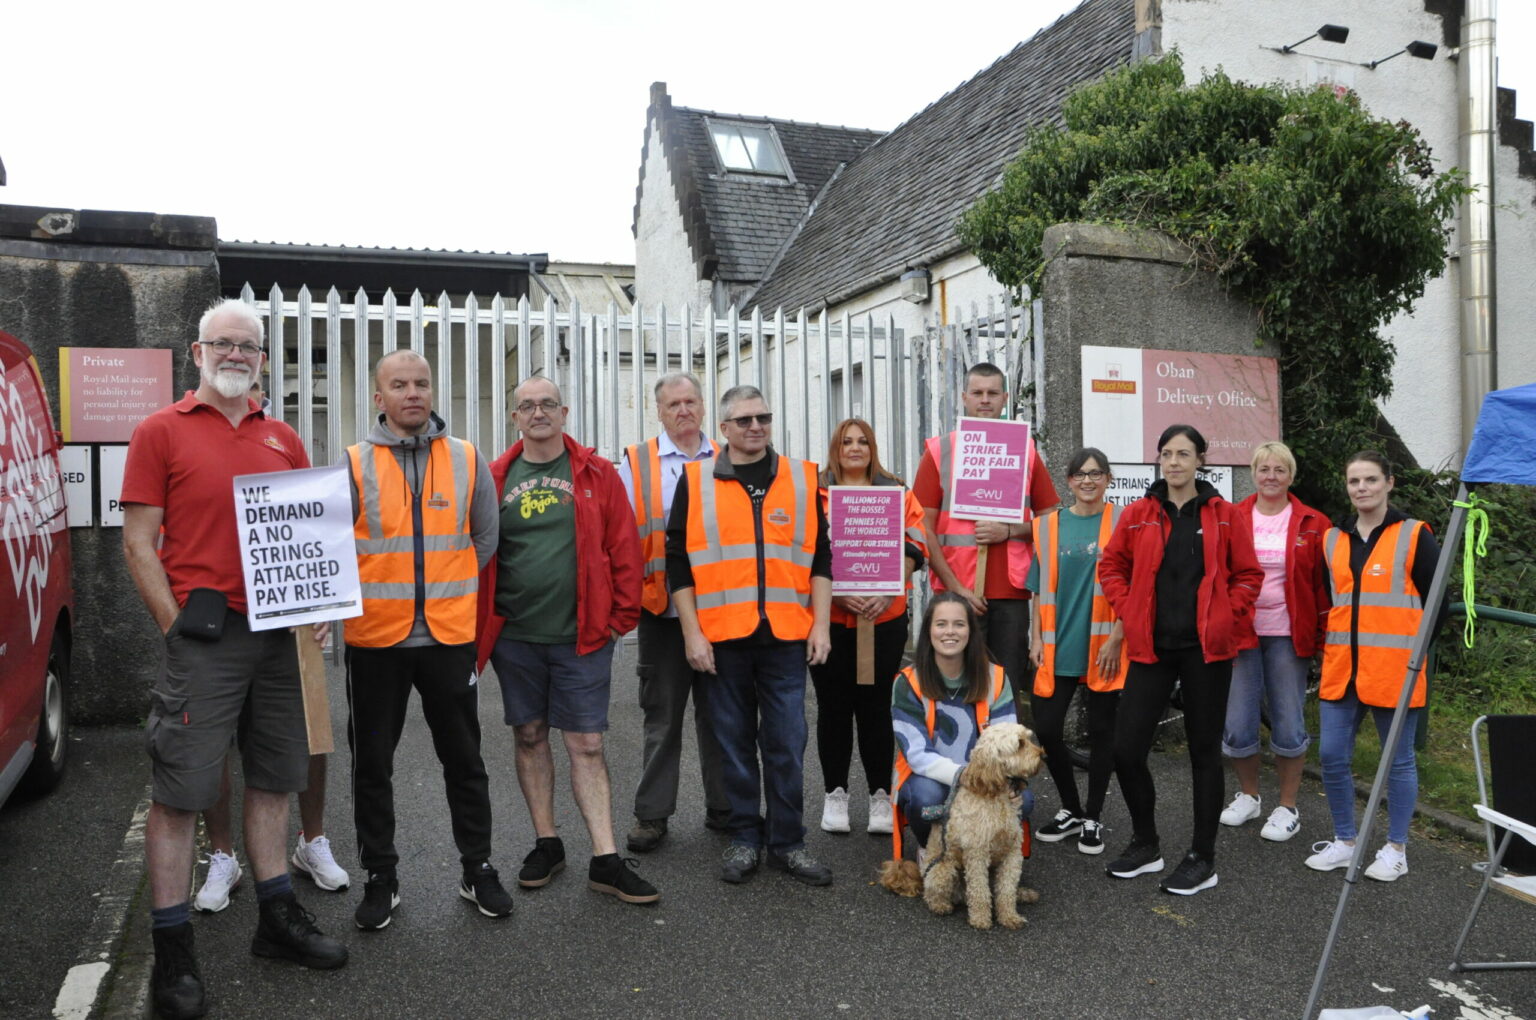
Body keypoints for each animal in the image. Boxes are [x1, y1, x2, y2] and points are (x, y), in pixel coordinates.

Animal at [878, 721, 1044, 927]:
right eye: (1019, 744)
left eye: (1029, 738)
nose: (1042, 754)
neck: (998, 799)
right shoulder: (977, 854)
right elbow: (980, 891)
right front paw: (980, 919)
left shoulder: (1012, 852)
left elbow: (1006, 889)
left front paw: (1009, 917)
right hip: (944, 870)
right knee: (933, 894)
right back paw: (941, 906)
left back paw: (1023, 894)